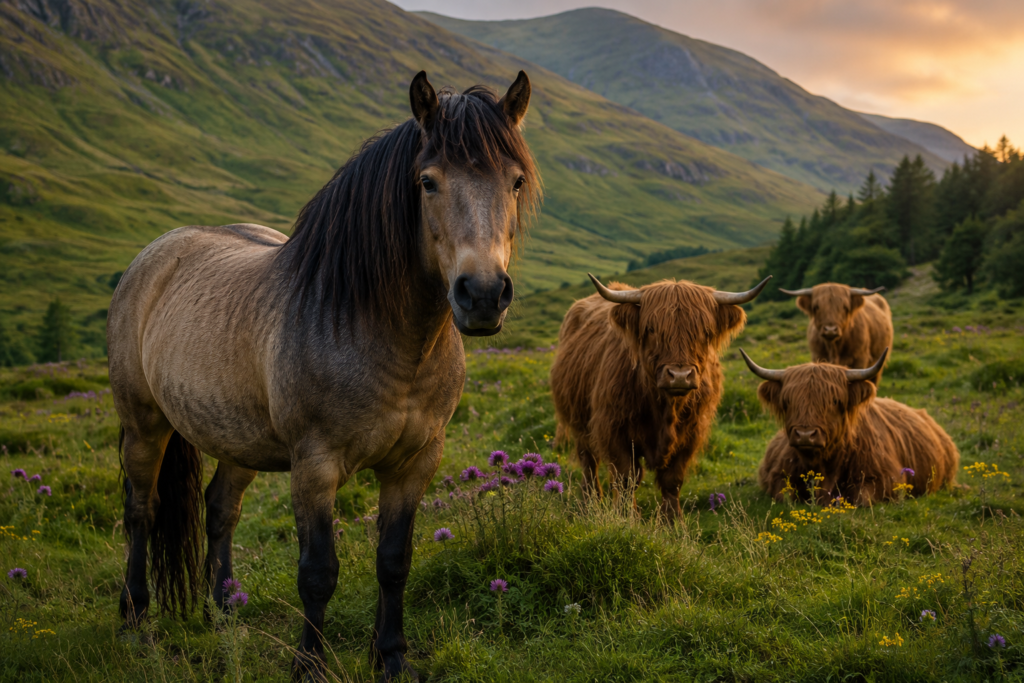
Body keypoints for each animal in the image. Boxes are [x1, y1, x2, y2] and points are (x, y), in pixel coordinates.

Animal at [107, 70, 539, 681]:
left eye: (516, 181)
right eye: (427, 182)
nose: (481, 295)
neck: (385, 338)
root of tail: (157, 252)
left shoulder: (415, 462)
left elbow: (394, 561)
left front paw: (391, 657)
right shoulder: (314, 465)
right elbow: (317, 572)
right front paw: (309, 663)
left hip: (235, 438)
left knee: (220, 509)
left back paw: (223, 612)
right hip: (144, 425)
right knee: (140, 512)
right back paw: (135, 619)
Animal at [550, 273, 771, 520]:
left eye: (705, 332)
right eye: (652, 329)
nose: (680, 376)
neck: (665, 408)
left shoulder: (691, 433)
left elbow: (672, 480)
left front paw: (672, 521)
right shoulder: (613, 428)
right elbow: (626, 478)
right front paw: (627, 517)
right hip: (578, 421)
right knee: (589, 463)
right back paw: (589, 503)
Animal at [741, 348, 959, 506]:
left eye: (835, 400)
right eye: (787, 401)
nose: (805, 434)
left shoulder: (886, 478)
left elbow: (862, 499)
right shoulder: (777, 475)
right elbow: (784, 497)